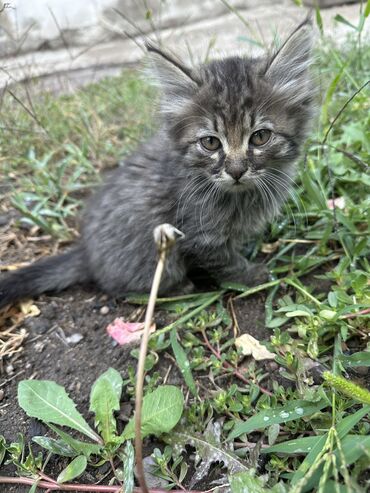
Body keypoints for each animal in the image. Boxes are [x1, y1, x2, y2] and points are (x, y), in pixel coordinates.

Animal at [0, 23, 316, 310]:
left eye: (260, 137)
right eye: (210, 143)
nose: (236, 171)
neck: (239, 194)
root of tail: (86, 253)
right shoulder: (201, 237)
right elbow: (227, 263)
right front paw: (253, 276)